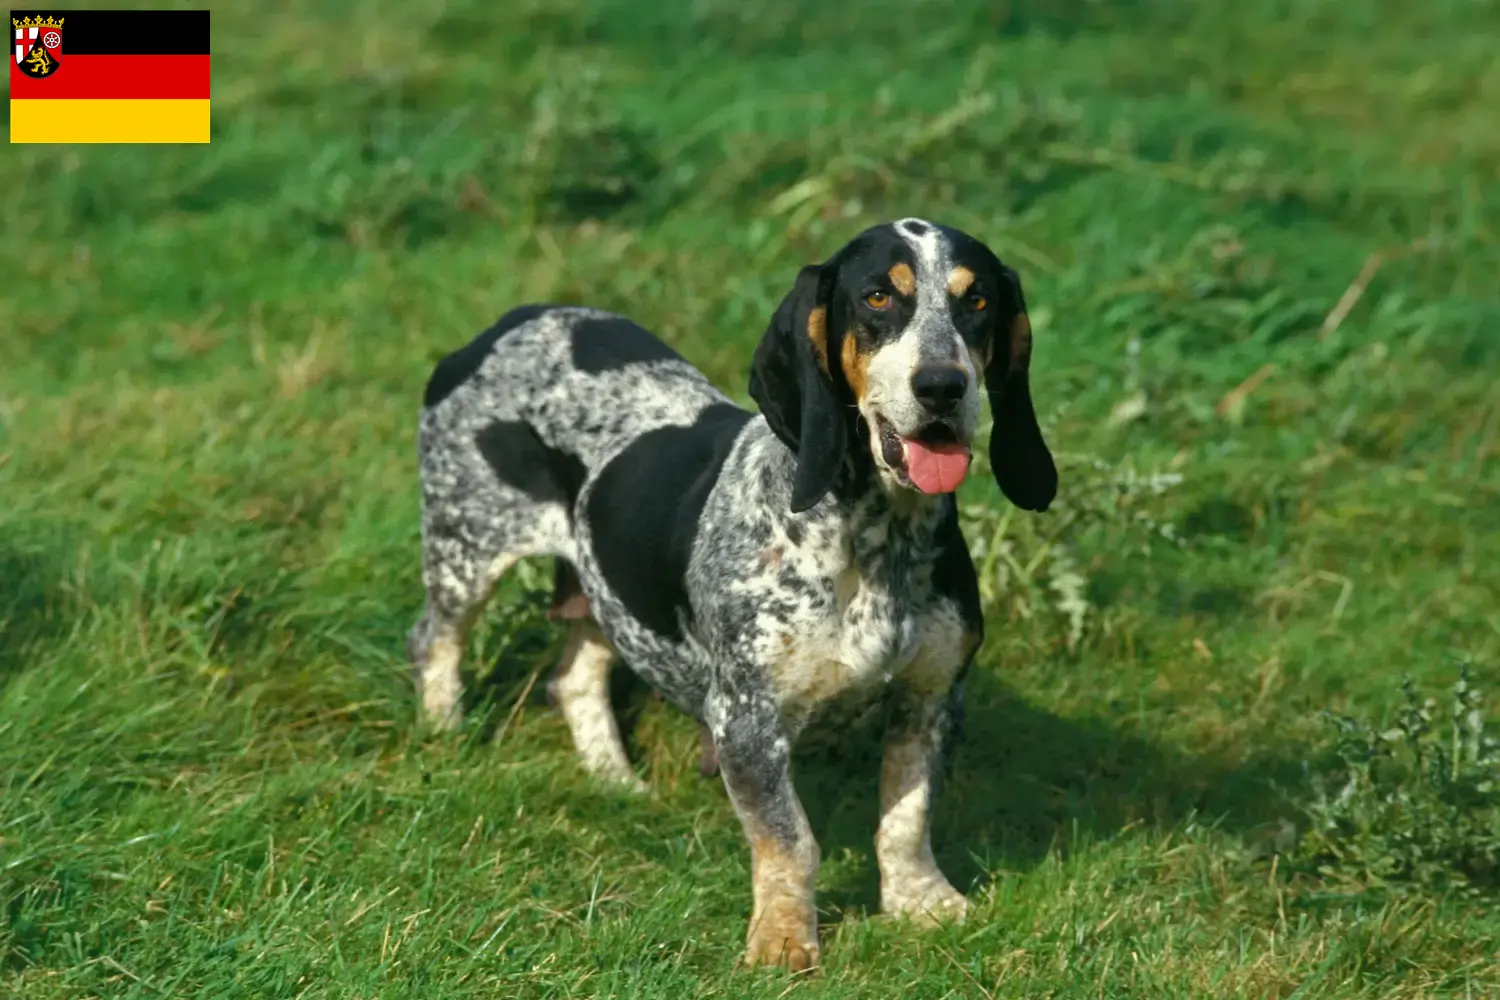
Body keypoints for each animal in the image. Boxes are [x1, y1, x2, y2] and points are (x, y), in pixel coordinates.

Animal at [408, 218, 1056, 971]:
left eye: (977, 301)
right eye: (876, 298)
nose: (943, 387)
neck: (874, 537)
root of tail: (505, 324)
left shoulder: (932, 697)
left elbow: (905, 817)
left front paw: (920, 903)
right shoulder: (748, 720)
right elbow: (790, 839)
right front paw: (783, 938)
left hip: (609, 588)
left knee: (573, 677)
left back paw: (614, 779)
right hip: (466, 552)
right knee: (435, 640)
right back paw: (445, 734)